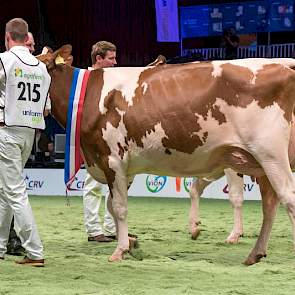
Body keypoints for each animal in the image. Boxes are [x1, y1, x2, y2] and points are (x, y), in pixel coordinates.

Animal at [38, 46, 295, 266]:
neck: (90, 96)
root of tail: (282, 66)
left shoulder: (112, 159)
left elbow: (119, 207)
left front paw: (120, 250)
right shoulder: (122, 167)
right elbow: (111, 206)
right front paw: (131, 243)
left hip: (270, 154)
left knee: (288, 199)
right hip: (257, 162)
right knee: (270, 205)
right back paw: (255, 253)